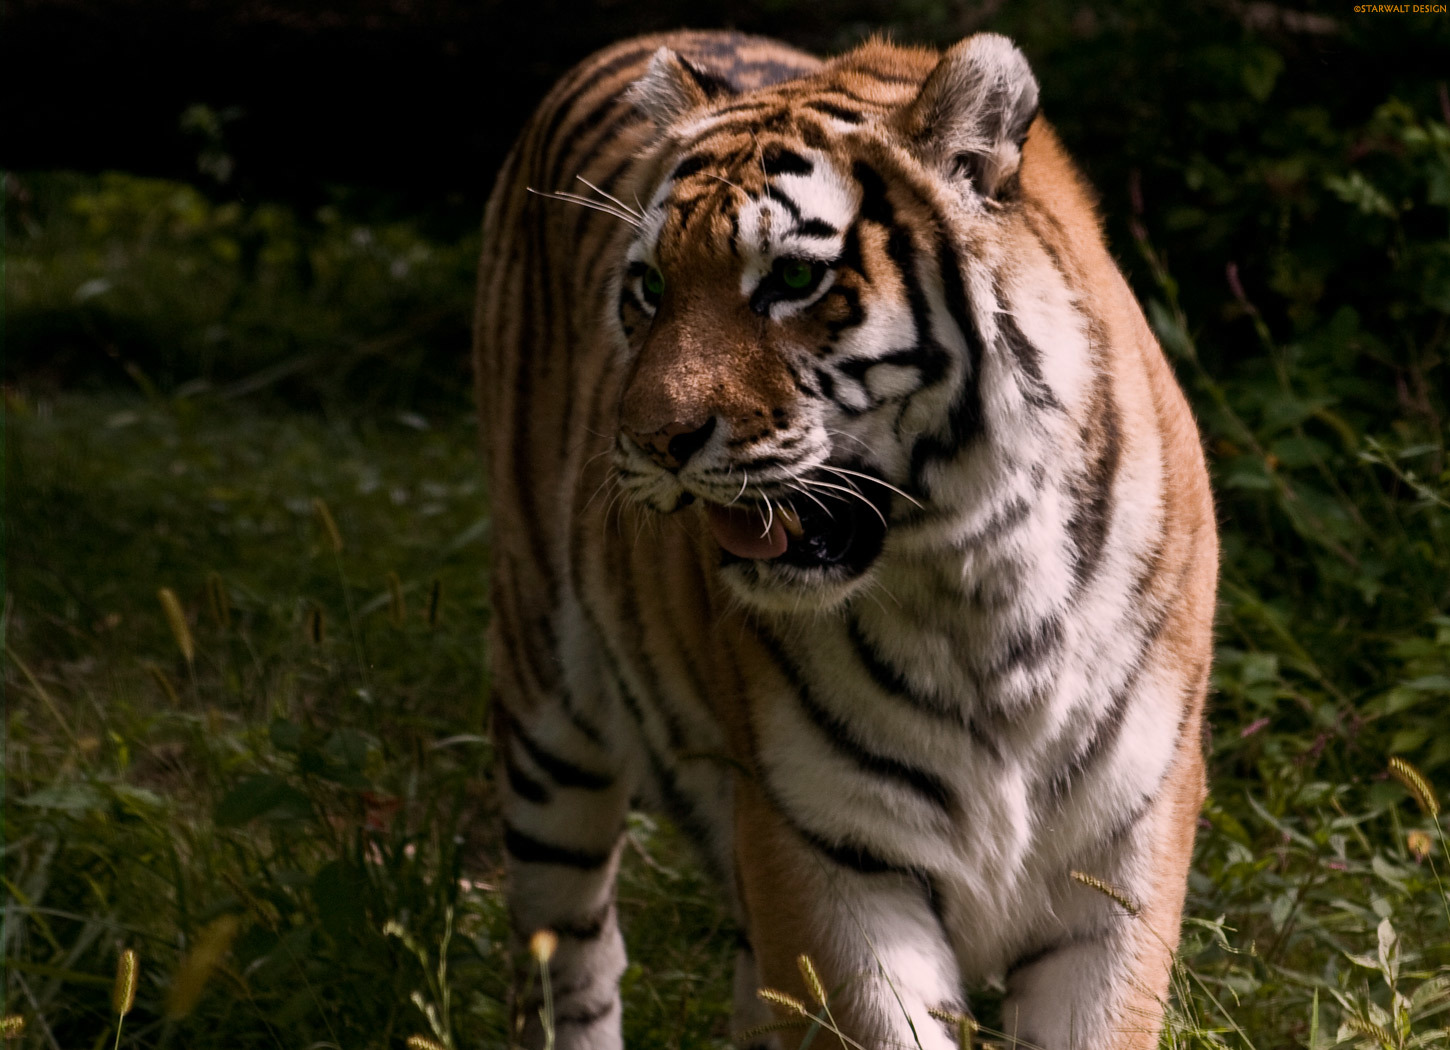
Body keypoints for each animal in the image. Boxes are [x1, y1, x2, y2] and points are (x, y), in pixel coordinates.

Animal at [474, 27, 1216, 1050]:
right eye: (651, 288)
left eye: (792, 279)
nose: (653, 440)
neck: (979, 578)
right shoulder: (825, 846)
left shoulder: (1120, 853)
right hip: (549, 720)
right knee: (568, 961)